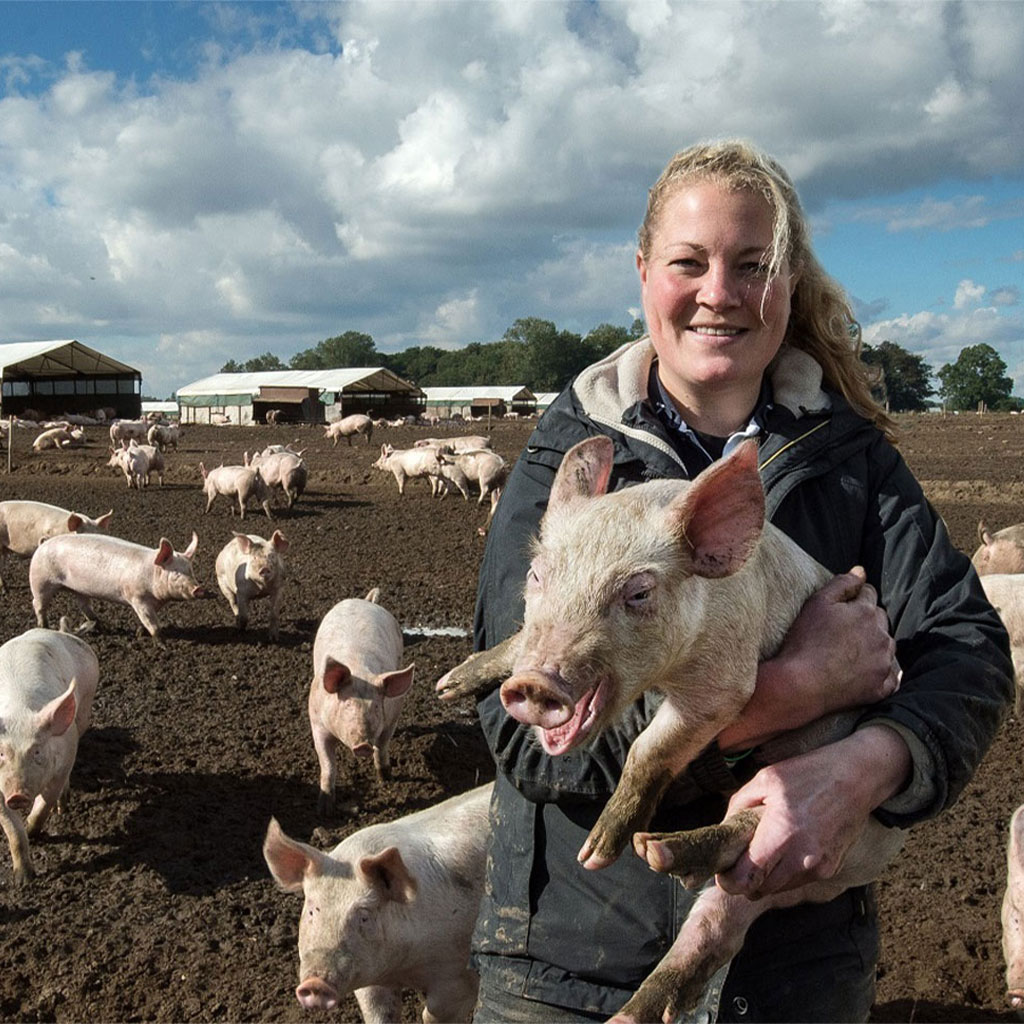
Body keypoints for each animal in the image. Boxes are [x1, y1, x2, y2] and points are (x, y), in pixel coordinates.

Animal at [0, 626, 99, 884]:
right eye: (1, 753)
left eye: (36, 750)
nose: (17, 796)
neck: (18, 711)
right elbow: (12, 829)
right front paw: (23, 881)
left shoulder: (63, 760)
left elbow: (45, 803)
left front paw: (32, 830)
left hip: (83, 713)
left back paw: (62, 807)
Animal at [30, 532, 205, 634]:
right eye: (175, 573)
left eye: (191, 570)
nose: (198, 589)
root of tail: (43, 543)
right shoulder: (137, 597)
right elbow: (152, 623)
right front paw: (162, 645)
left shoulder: (155, 603)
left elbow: (147, 620)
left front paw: (140, 633)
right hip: (41, 581)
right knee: (38, 604)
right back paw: (44, 626)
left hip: (78, 588)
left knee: (83, 605)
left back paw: (99, 624)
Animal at [262, 782, 489, 1015]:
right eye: (311, 911)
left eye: (364, 916)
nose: (315, 985)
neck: (401, 968)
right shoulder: (369, 975)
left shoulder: (458, 977)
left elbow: (432, 1014)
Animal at [307, 593, 411, 815]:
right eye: (347, 705)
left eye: (376, 707)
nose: (363, 745)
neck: (358, 670)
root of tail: (365, 601)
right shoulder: (317, 724)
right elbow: (328, 765)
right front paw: (324, 810)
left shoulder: (392, 717)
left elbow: (382, 746)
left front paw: (385, 778)